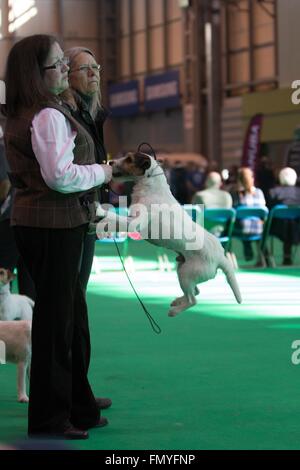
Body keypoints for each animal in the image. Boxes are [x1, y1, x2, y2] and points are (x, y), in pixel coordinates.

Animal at [97, 152, 243, 318]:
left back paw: (175, 311)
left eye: (129, 159)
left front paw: (100, 213)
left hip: (186, 274)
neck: (151, 187)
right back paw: (178, 301)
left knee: (193, 299)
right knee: (195, 291)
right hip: (182, 269)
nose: (110, 162)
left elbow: (113, 217)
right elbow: (114, 220)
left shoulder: (135, 223)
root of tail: (220, 257)